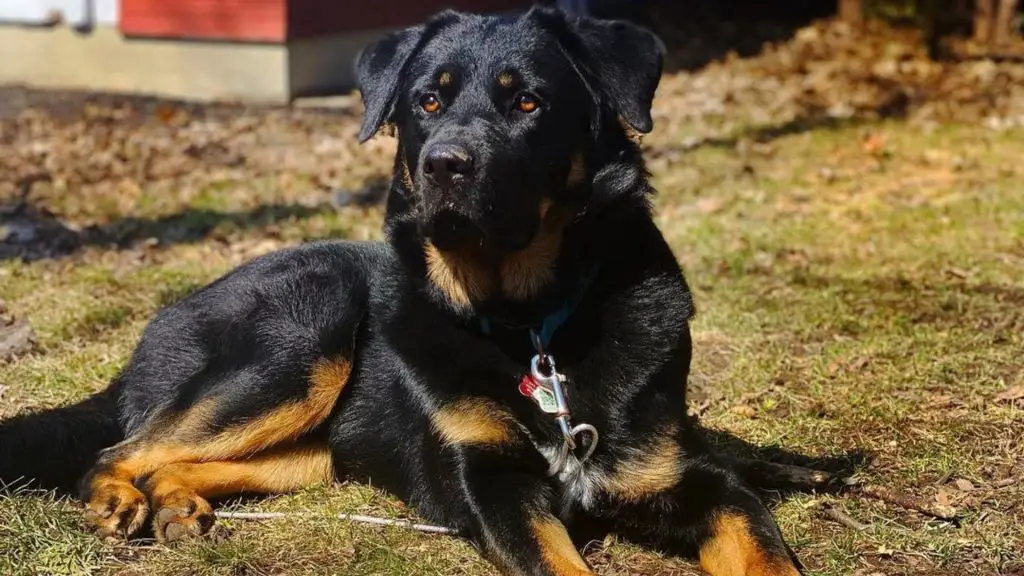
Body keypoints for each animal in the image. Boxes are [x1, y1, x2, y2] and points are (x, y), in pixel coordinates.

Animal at [4, 5, 811, 573]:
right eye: (427, 102)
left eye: (528, 103)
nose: (445, 164)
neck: (525, 321)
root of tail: (153, 331)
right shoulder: (489, 483)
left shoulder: (693, 478)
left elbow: (763, 548)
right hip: (306, 337)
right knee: (121, 448)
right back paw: (116, 497)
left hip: (315, 450)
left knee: (169, 457)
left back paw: (176, 503)